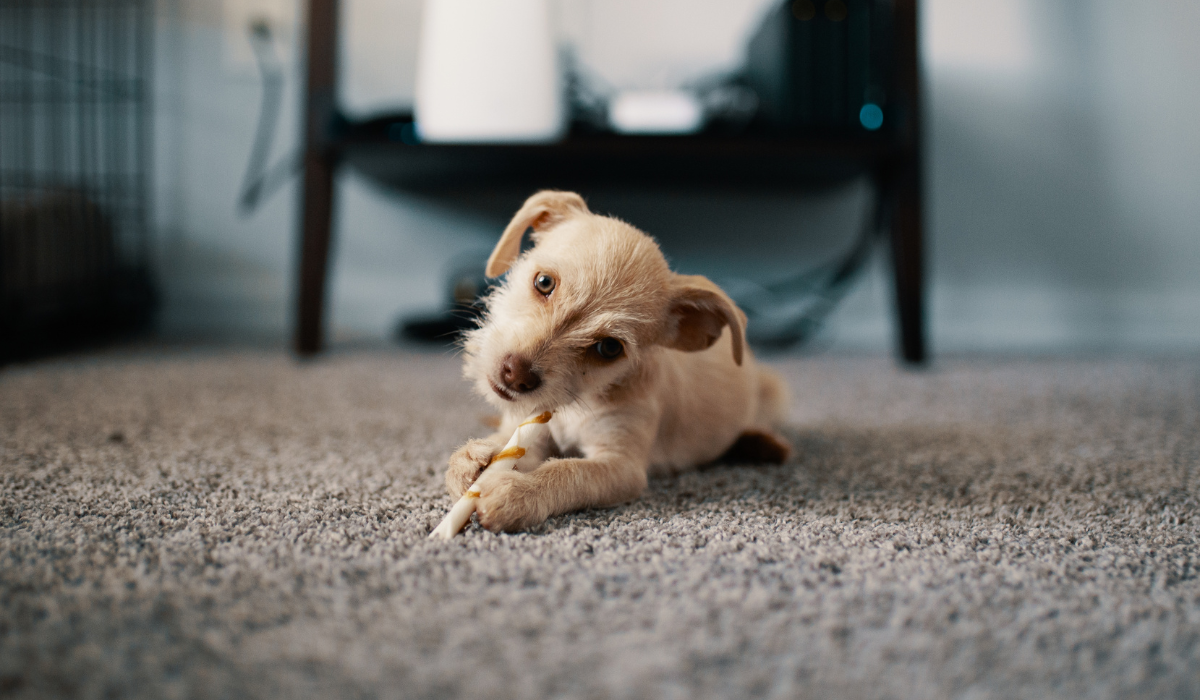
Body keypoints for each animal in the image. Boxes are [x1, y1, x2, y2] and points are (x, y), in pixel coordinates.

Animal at [446, 190, 792, 530]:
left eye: (609, 348)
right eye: (543, 282)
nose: (516, 375)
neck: (576, 404)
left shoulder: (621, 466)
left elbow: (568, 472)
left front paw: (518, 491)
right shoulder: (530, 430)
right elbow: (508, 446)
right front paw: (473, 459)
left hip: (774, 390)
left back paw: (761, 443)